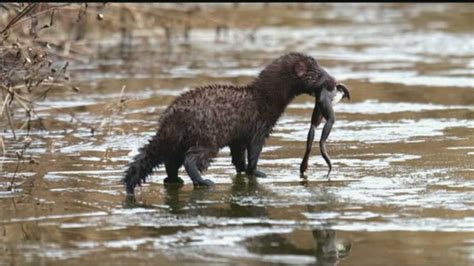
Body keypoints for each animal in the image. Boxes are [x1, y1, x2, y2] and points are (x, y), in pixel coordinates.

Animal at [122, 52, 344, 194]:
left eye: (324, 69)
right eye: (320, 74)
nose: (334, 82)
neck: (263, 98)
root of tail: (172, 117)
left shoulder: (238, 138)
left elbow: (238, 156)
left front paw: (242, 170)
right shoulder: (259, 128)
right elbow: (254, 154)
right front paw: (257, 172)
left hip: (175, 140)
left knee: (169, 160)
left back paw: (174, 180)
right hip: (207, 137)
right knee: (191, 159)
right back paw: (203, 181)